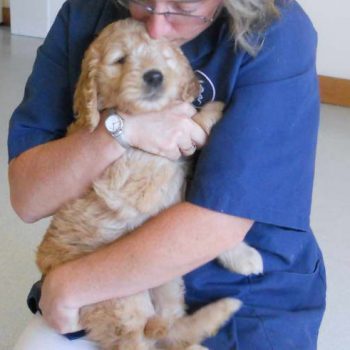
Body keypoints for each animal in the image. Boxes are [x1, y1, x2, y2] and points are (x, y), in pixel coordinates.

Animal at [37, 19, 262, 350]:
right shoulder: (151, 177)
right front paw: (214, 109)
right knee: (140, 338)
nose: (154, 75)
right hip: (122, 298)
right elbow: (193, 124)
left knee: (169, 329)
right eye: (120, 60)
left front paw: (243, 257)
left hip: (167, 284)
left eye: (164, 57)